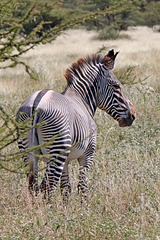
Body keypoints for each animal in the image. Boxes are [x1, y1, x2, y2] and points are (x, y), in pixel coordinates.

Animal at [16, 49, 136, 202]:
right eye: (116, 86)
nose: (132, 115)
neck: (82, 99)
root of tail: (37, 102)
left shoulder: (66, 160)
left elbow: (66, 188)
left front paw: (67, 207)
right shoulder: (88, 153)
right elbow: (82, 186)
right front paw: (83, 208)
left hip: (27, 151)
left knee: (34, 187)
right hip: (57, 149)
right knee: (47, 187)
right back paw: (48, 209)